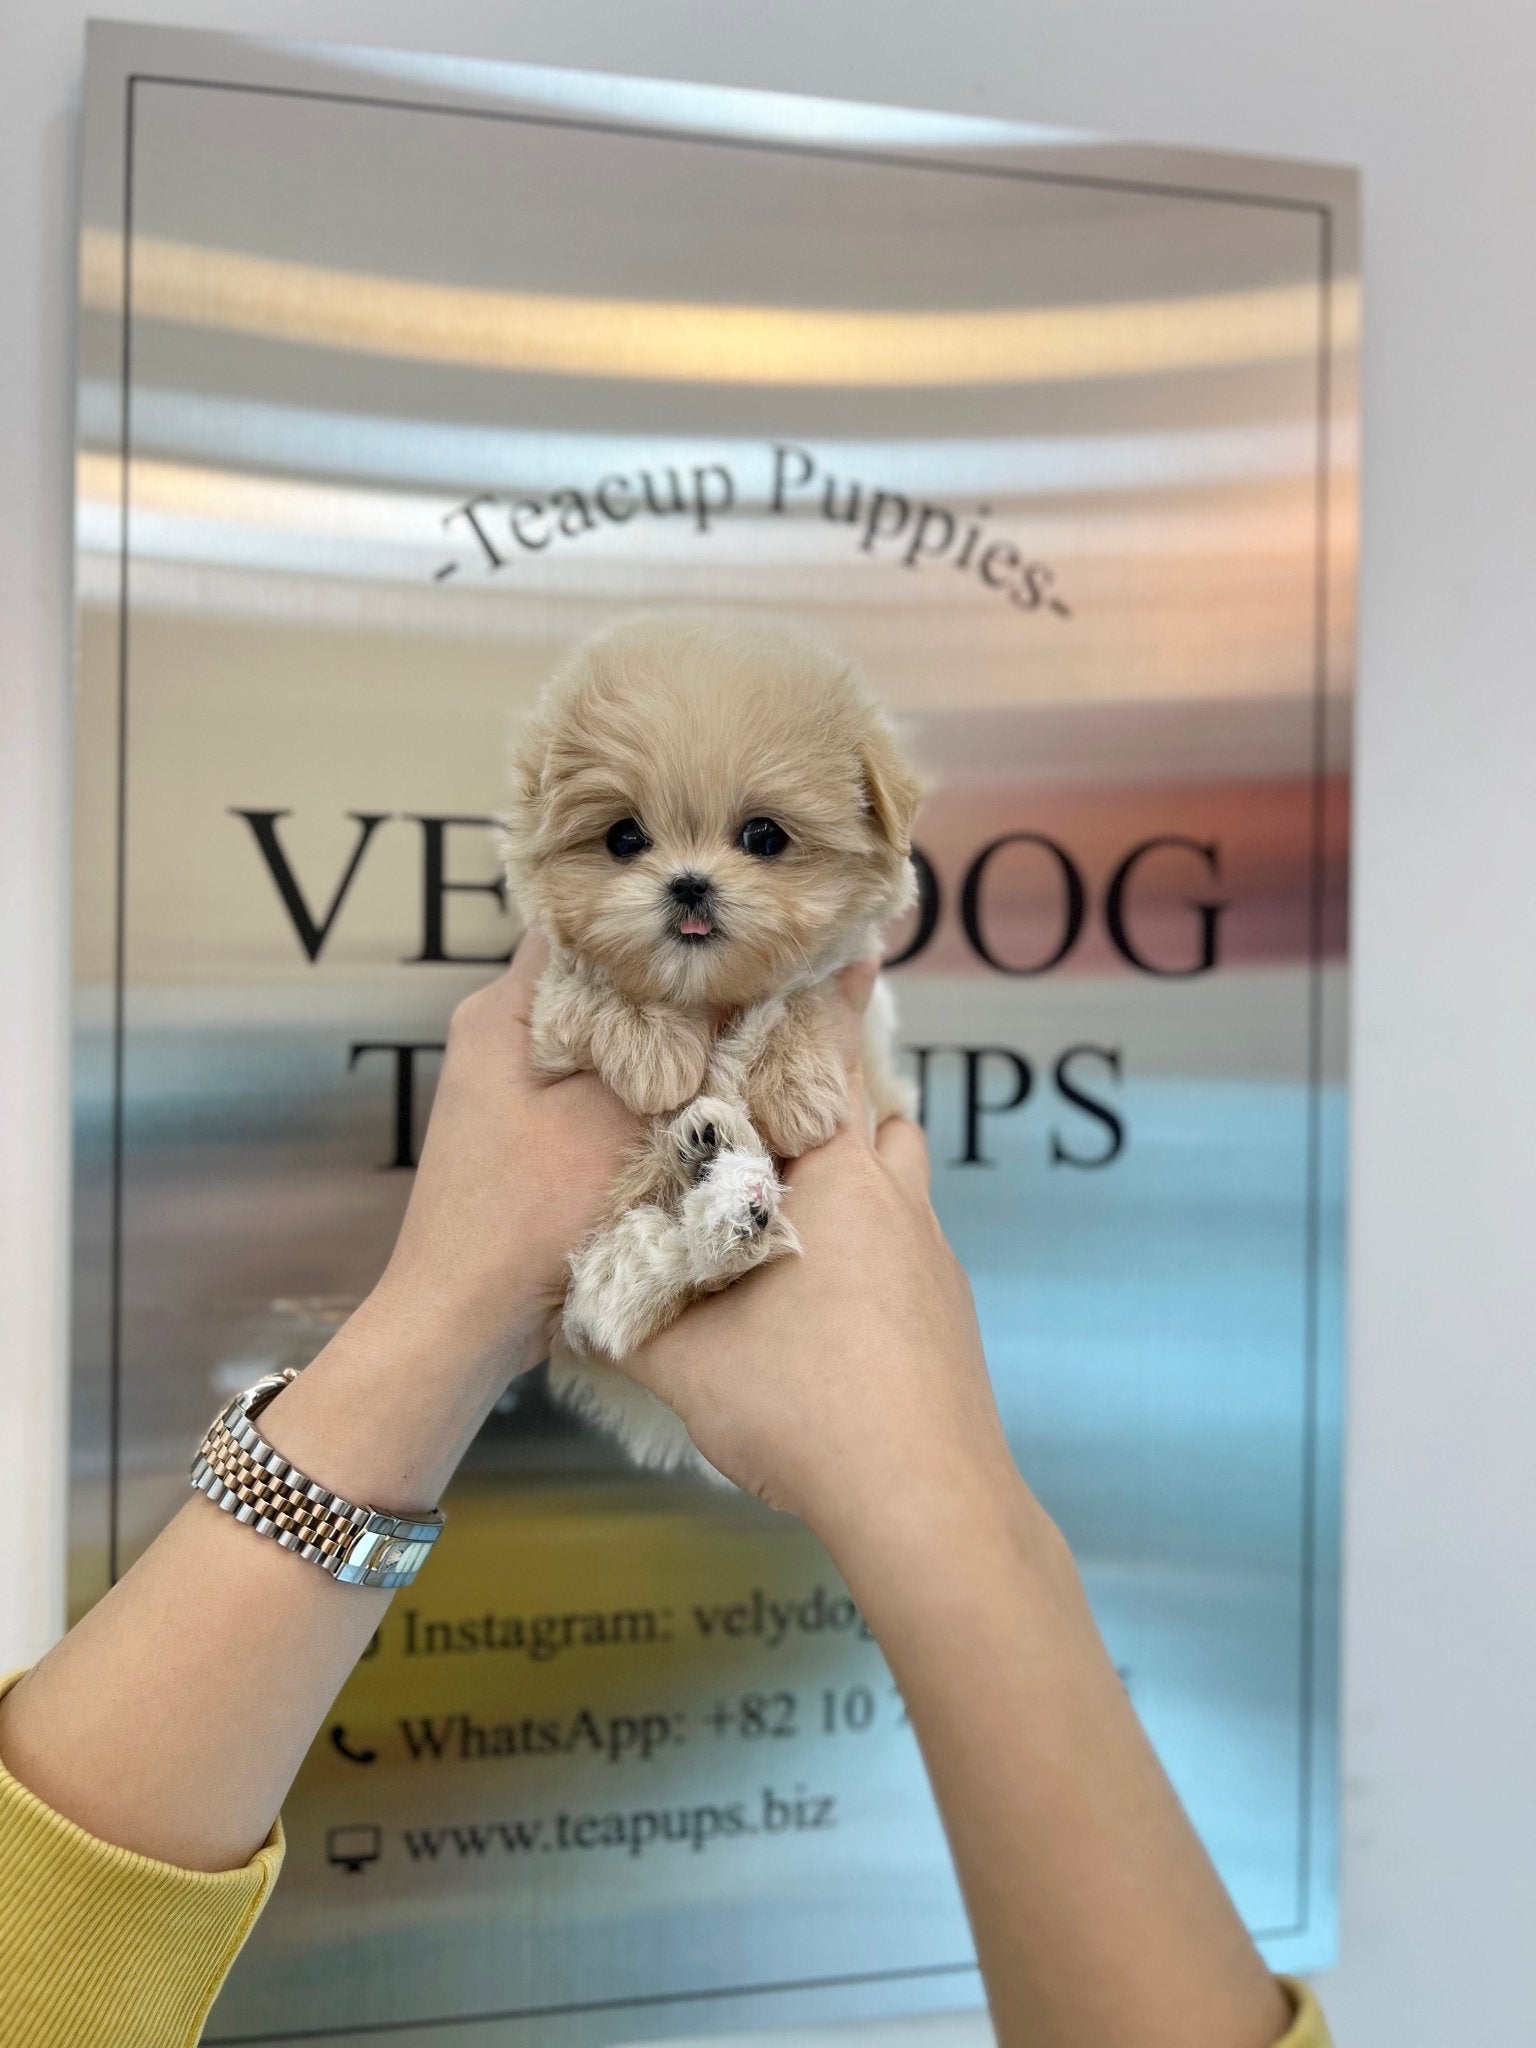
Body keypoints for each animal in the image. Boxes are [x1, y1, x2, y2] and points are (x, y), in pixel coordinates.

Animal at [505, 606, 921, 1474]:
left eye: (763, 836)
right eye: (624, 838)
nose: (689, 883)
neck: (708, 995)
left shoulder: (856, 1007)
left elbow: (798, 993)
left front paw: (792, 1085)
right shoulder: (549, 1019)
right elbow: (593, 982)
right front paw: (654, 1051)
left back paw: (728, 1189)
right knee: (632, 1287)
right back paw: (713, 1177)